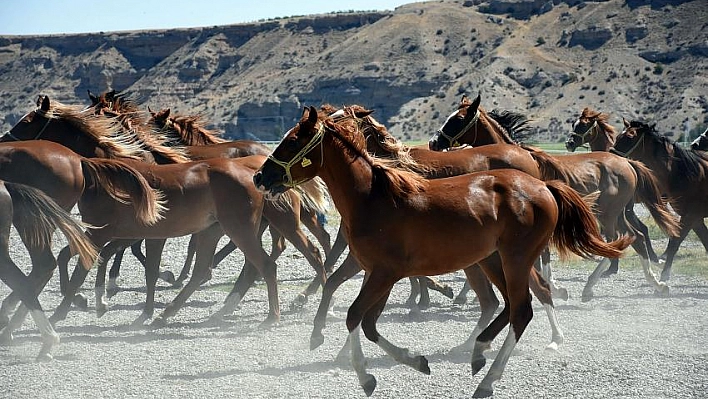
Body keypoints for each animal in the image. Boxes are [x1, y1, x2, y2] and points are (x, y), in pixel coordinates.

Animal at [253, 105, 632, 396]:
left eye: (292, 141)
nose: (260, 176)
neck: (373, 198)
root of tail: (543, 186)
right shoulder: (376, 272)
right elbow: (367, 321)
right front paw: (415, 361)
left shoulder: (385, 273)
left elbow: (356, 316)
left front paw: (366, 376)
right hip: (492, 259)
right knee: (510, 304)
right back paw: (478, 350)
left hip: (515, 258)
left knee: (522, 309)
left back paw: (488, 379)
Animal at [426, 94, 680, 300]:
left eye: (458, 119)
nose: (434, 142)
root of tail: (627, 163)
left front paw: (554, 287)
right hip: (616, 214)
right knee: (635, 237)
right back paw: (656, 284)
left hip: (609, 215)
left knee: (621, 240)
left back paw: (593, 286)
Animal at [608, 121, 708, 282]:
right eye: (618, 136)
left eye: (630, 137)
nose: (610, 157)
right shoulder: (696, 219)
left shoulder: (690, 216)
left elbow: (675, 242)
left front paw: (664, 275)